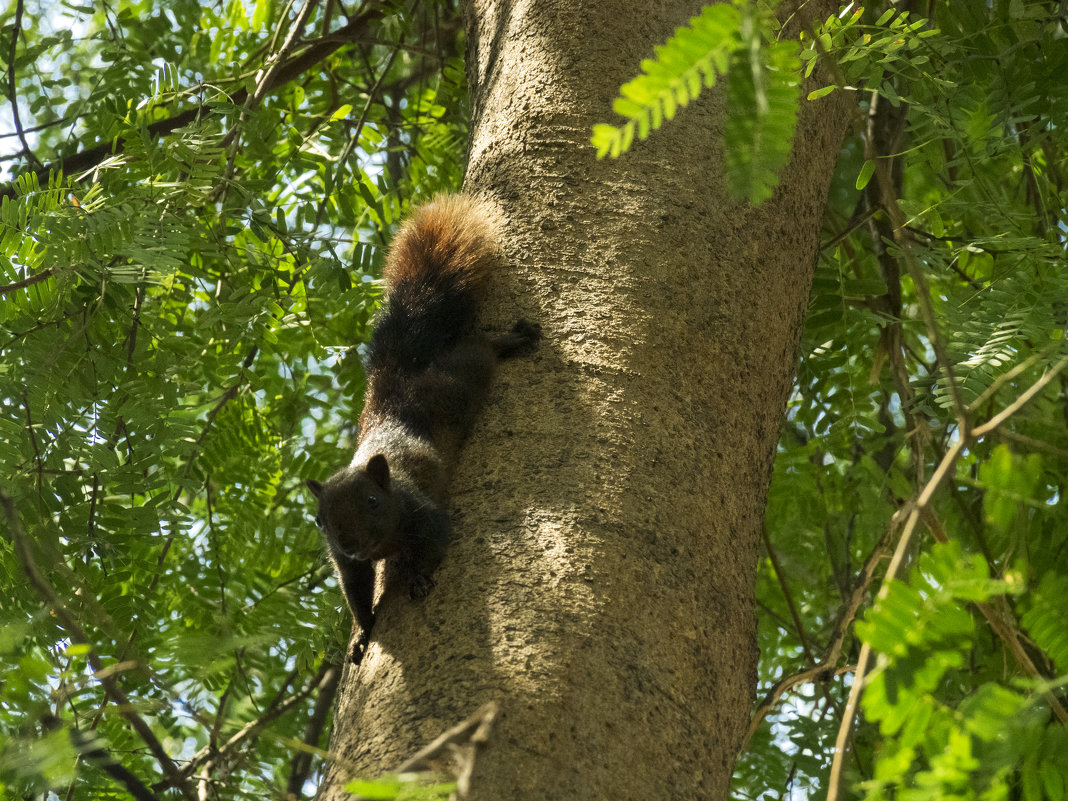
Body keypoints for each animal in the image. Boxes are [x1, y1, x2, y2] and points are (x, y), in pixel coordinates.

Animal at [305, 194, 538, 666]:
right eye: (322, 521)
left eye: (372, 501)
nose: (350, 540)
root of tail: (391, 395)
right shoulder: (347, 564)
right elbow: (356, 594)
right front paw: (362, 634)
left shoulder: (422, 512)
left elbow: (433, 544)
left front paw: (416, 580)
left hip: (455, 383)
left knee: (478, 350)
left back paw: (512, 340)